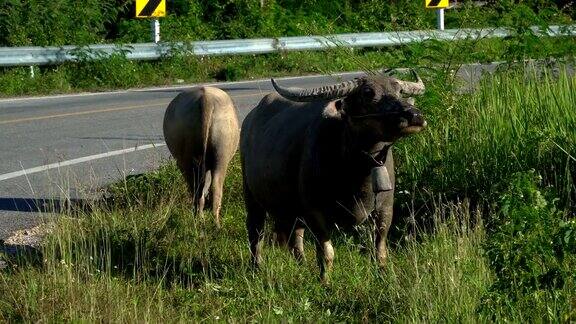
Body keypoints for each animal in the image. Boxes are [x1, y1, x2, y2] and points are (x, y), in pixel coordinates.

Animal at [163, 86, 240, 228]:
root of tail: (206, 98)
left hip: (187, 158)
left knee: (197, 187)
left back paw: (199, 218)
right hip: (221, 148)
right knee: (214, 186)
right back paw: (215, 223)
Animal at [241, 71, 426, 280]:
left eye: (399, 90)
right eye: (368, 93)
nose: (415, 115)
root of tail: (250, 119)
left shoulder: (385, 208)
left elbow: (380, 249)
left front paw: (384, 274)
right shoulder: (315, 212)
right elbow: (326, 252)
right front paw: (325, 281)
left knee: (295, 237)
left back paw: (302, 265)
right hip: (251, 196)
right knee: (256, 231)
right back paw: (257, 266)